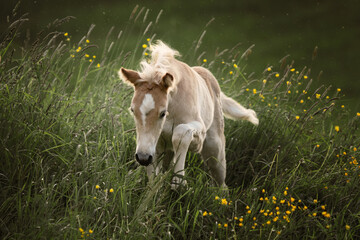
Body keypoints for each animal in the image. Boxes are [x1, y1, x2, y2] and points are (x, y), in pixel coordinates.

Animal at [119, 40, 258, 188]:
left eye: (162, 113)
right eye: (132, 110)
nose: (143, 158)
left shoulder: (198, 137)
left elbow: (180, 133)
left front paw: (179, 182)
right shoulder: (154, 144)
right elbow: (153, 173)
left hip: (214, 149)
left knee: (221, 184)